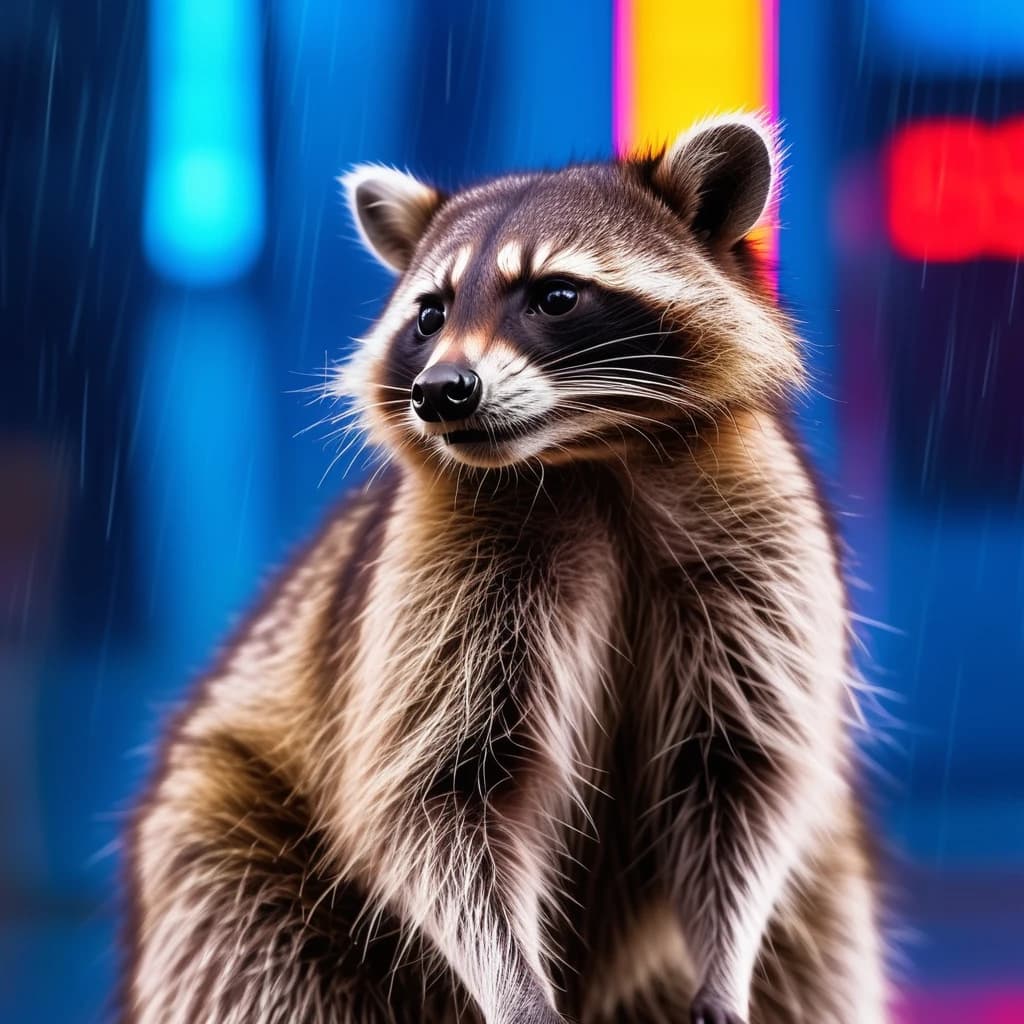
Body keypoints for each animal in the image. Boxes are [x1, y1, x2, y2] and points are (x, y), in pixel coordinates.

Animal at [122, 114, 889, 1024]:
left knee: (819, 958)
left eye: (555, 295)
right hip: (228, 838)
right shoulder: (440, 573)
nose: (440, 391)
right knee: (251, 962)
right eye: (430, 312)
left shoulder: (760, 539)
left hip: (826, 885)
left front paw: (725, 961)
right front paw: (516, 987)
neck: (587, 458)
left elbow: (734, 773)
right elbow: (442, 798)